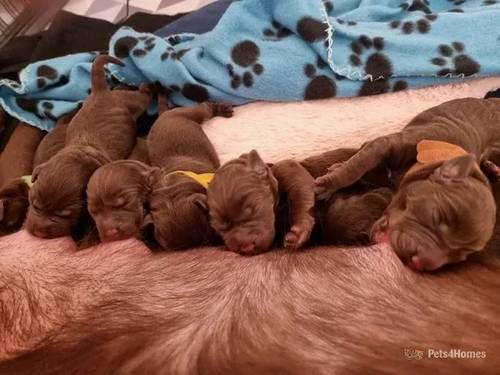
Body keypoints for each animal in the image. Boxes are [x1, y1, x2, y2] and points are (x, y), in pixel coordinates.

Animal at [25, 54, 150, 239]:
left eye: (65, 214)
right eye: (35, 204)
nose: (39, 233)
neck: (75, 153)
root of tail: (99, 91)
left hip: (132, 101)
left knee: (142, 95)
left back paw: (147, 84)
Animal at [316, 98, 500, 272]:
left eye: (460, 256)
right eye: (436, 216)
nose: (420, 264)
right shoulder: (384, 144)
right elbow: (358, 165)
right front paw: (327, 183)